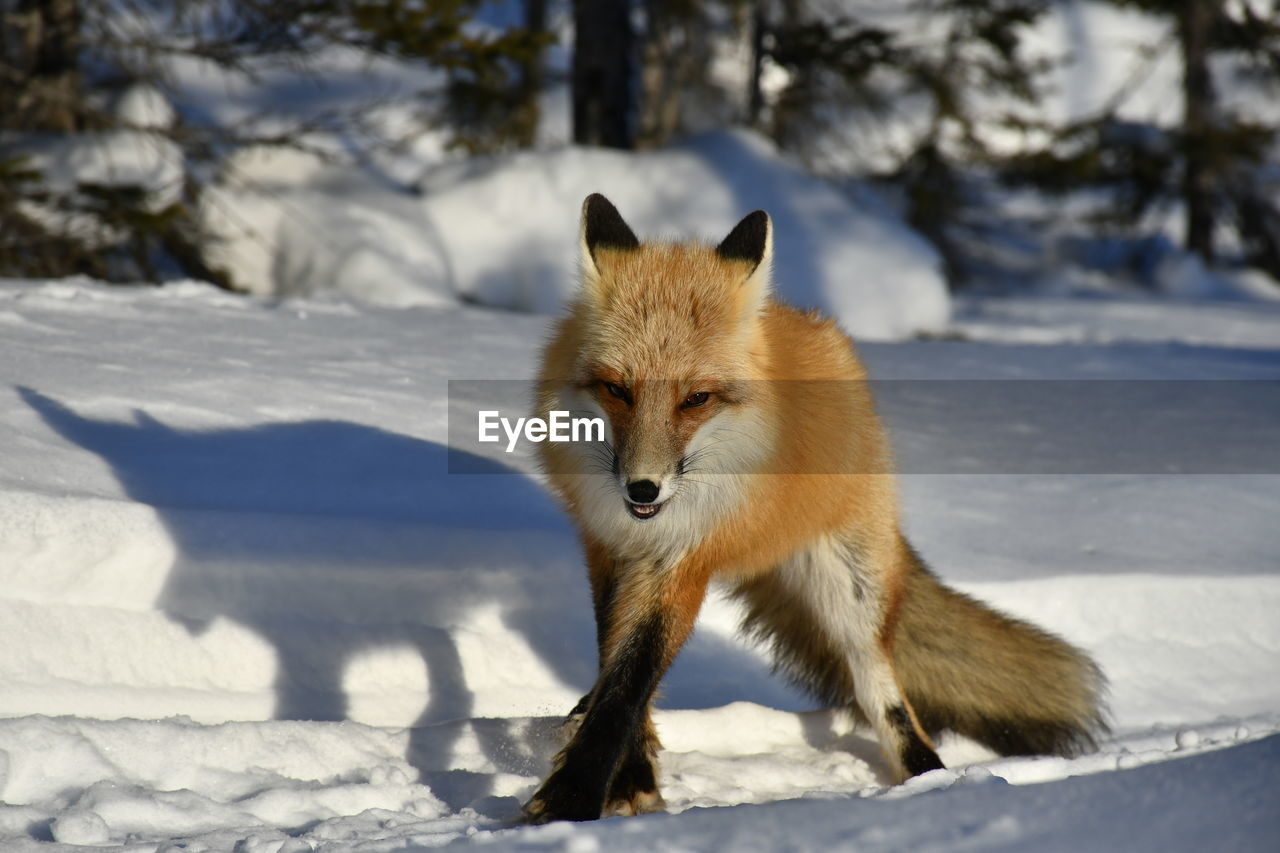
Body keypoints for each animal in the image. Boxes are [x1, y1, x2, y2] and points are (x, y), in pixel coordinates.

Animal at [524, 192, 1105, 819]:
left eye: (696, 399)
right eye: (617, 390)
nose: (642, 489)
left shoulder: (683, 560)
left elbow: (630, 681)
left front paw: (571, 799)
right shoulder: (610, 547)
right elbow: (617, 668)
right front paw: (626, 773)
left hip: (852, 589)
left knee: (884, 695)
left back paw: (928, 783)